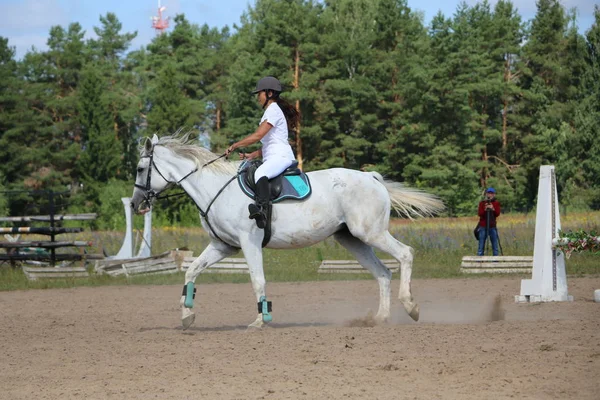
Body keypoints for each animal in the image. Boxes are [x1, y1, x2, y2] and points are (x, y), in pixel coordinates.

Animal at [129, 134, 442, 328]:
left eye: (141, 168)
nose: (135, 204)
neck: (214, 188)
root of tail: (372, 177)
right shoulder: (223, 246)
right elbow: (191, 272)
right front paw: (186, 316)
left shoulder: (249, 243)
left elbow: (258, 280)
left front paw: (260, 319)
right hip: (352, 239)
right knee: (383, 273)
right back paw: (380, 318)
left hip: (370, 232)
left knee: (405, 254)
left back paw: (411, 307)